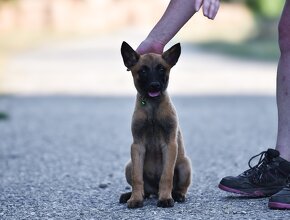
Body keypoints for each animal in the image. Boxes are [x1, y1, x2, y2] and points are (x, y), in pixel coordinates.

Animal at [119, 41, 191, 208]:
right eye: (143, 70)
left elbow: (166, 175)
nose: (154, 85)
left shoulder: (170, 144)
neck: (152, 107)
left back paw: (177, 195)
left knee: (181, 187)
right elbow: (137, 177)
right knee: (144, 188)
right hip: (129, 165)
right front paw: (135, 198)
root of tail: (154, 191)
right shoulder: (137, 146)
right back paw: (132, 195)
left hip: (185, 165)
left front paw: (165, 198)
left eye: (161, 69)